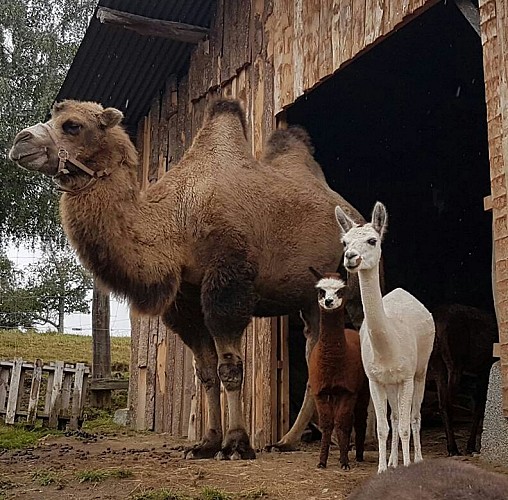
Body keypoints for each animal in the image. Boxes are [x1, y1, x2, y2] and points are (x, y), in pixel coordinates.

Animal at [8, 97, 366, 460]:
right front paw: (206, 443)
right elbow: (205, 373)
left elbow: (230, 368)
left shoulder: (227, 284)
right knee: (314, 352)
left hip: (354, 286)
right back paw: (289, 440)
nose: (20, 141)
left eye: (73, 125)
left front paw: (236, 444)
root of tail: (354, 212)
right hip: (312, 300)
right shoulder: (186, 299)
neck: (179, 222)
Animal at [336, 202, 434, 472]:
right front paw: (382, 469)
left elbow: (405, 426)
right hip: (391, 383)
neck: (388, 346)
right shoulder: (375, 379)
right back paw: (392, 462)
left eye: (372, 240)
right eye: (345, 242)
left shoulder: (407, 376)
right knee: (396, 416)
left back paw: (417, 459)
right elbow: (383, 427)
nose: (351, 257)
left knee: (414, 416)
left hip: (421, 369)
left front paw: (408, 466)